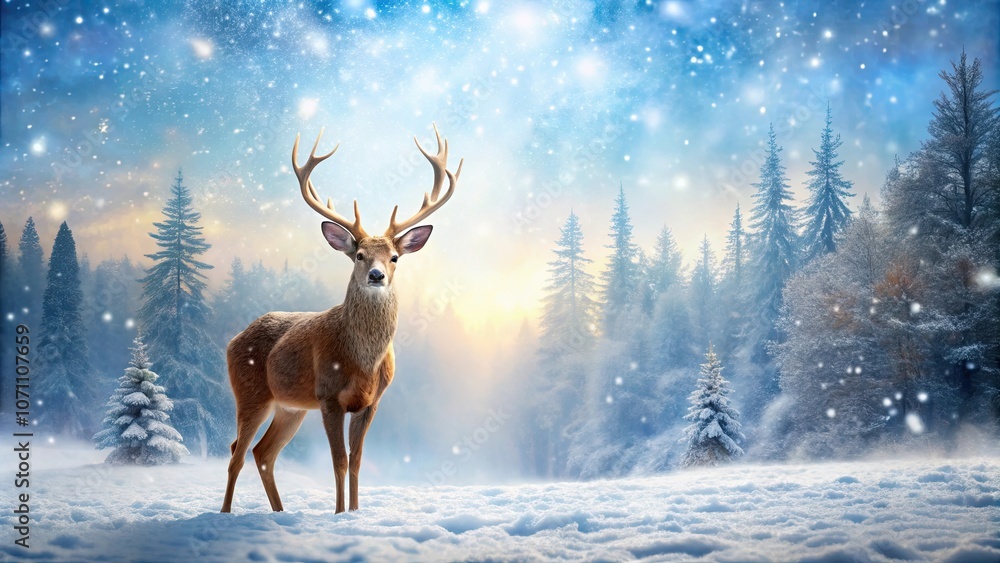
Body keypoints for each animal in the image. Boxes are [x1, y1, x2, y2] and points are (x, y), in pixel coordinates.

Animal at [220, 124, 462, 514]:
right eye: (359, 255)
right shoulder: (329, 396)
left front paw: (355, 512)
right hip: (250, 393)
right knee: (236, 452)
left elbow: (358, 459)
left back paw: (280, 512)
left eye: (394, 257)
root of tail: (233, 340)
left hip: (290, 407)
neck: (362, 362)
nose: (376, 275)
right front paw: (337, 513)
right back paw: (225, 513)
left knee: (263, 453)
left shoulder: (372, 402)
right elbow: (339, 460)